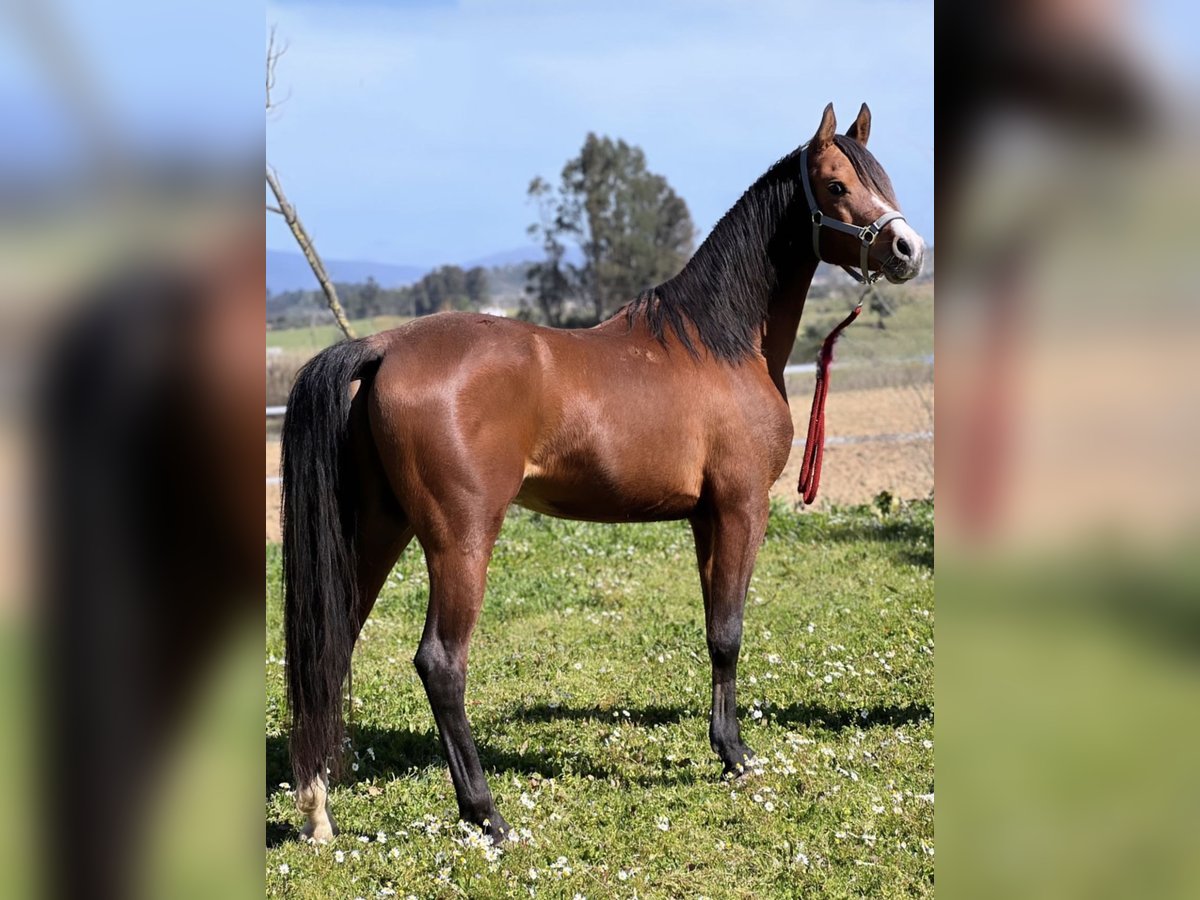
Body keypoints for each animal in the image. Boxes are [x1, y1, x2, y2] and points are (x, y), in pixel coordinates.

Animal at [283, 105, 926, 844]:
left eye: (880, 178)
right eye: (836, 184)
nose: (908, 248)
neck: (721, 344)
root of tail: (382, 347)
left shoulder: (705, 517)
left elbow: (714, 632)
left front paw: (722, 746)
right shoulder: (742, 507)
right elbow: (731, 631)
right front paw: (737, 757)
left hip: (379, 529)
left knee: (330, 646)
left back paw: (318, 809)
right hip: (460, 537)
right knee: (440, 662)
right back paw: (485, 812)